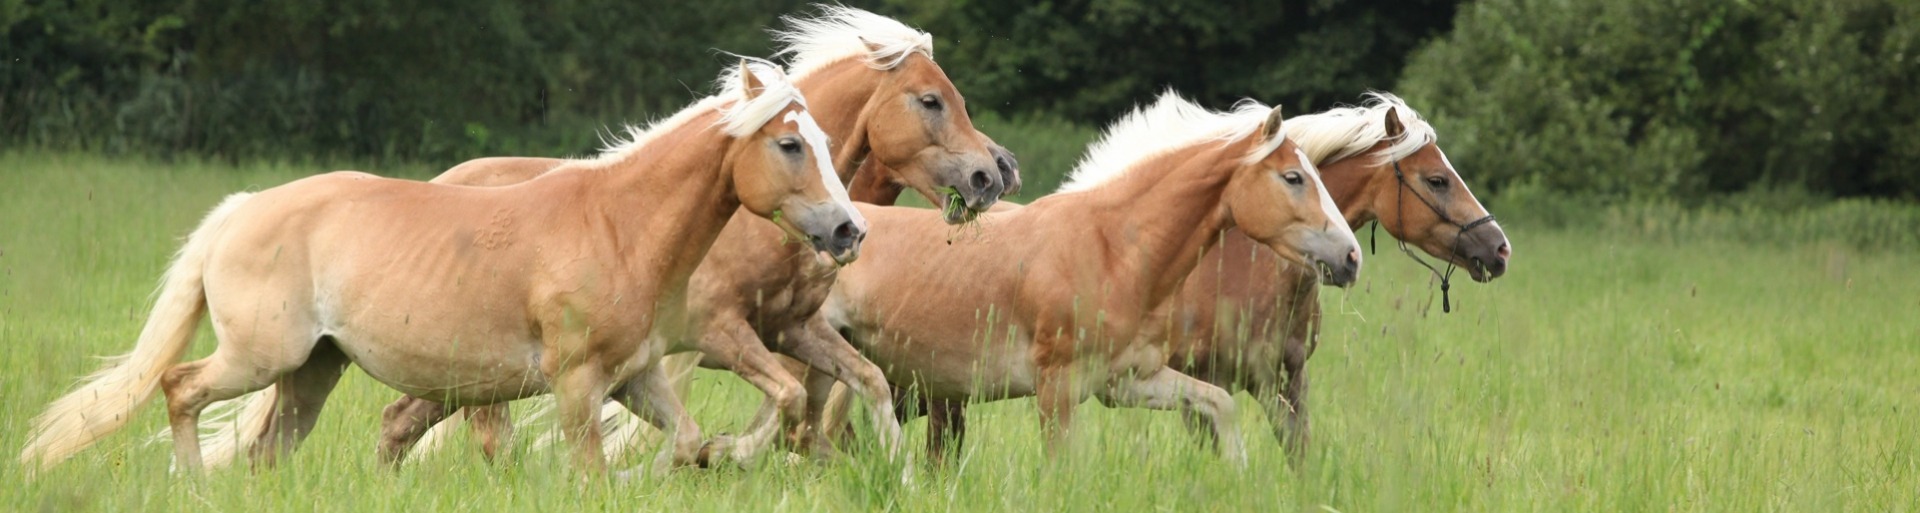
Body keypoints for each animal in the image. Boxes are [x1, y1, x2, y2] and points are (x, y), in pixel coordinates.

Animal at [16, 60, 864, 478]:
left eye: (825, 141)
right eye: (790, 144)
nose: (849, 229)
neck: (616, 226)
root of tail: (243, 208)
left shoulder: (635, 374)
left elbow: (687, 441)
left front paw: (710, 459)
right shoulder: (576, 383)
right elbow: (588, 470)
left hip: (311, 371)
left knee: (264, 451)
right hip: (260, 356)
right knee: (179, 386)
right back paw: (189, 483)